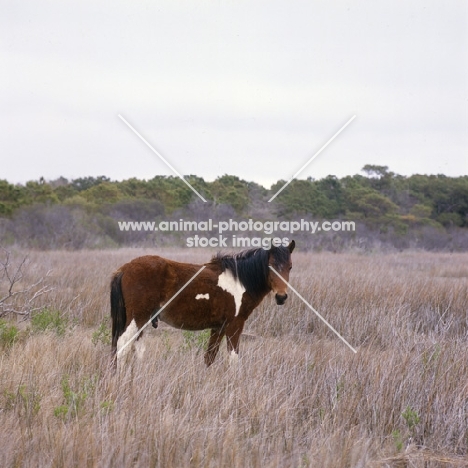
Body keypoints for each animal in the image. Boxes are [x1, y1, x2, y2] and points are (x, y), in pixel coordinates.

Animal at [110, 239, 294, 368]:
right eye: (270, 266)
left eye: (290, 267)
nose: (281, 297)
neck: (240, 281)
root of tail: (124, 269)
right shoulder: (235, 325)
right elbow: (233, 359)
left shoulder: (219, 327)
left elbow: (209, 357)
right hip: (138, 318)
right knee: (123, 345)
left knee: (136, 348)